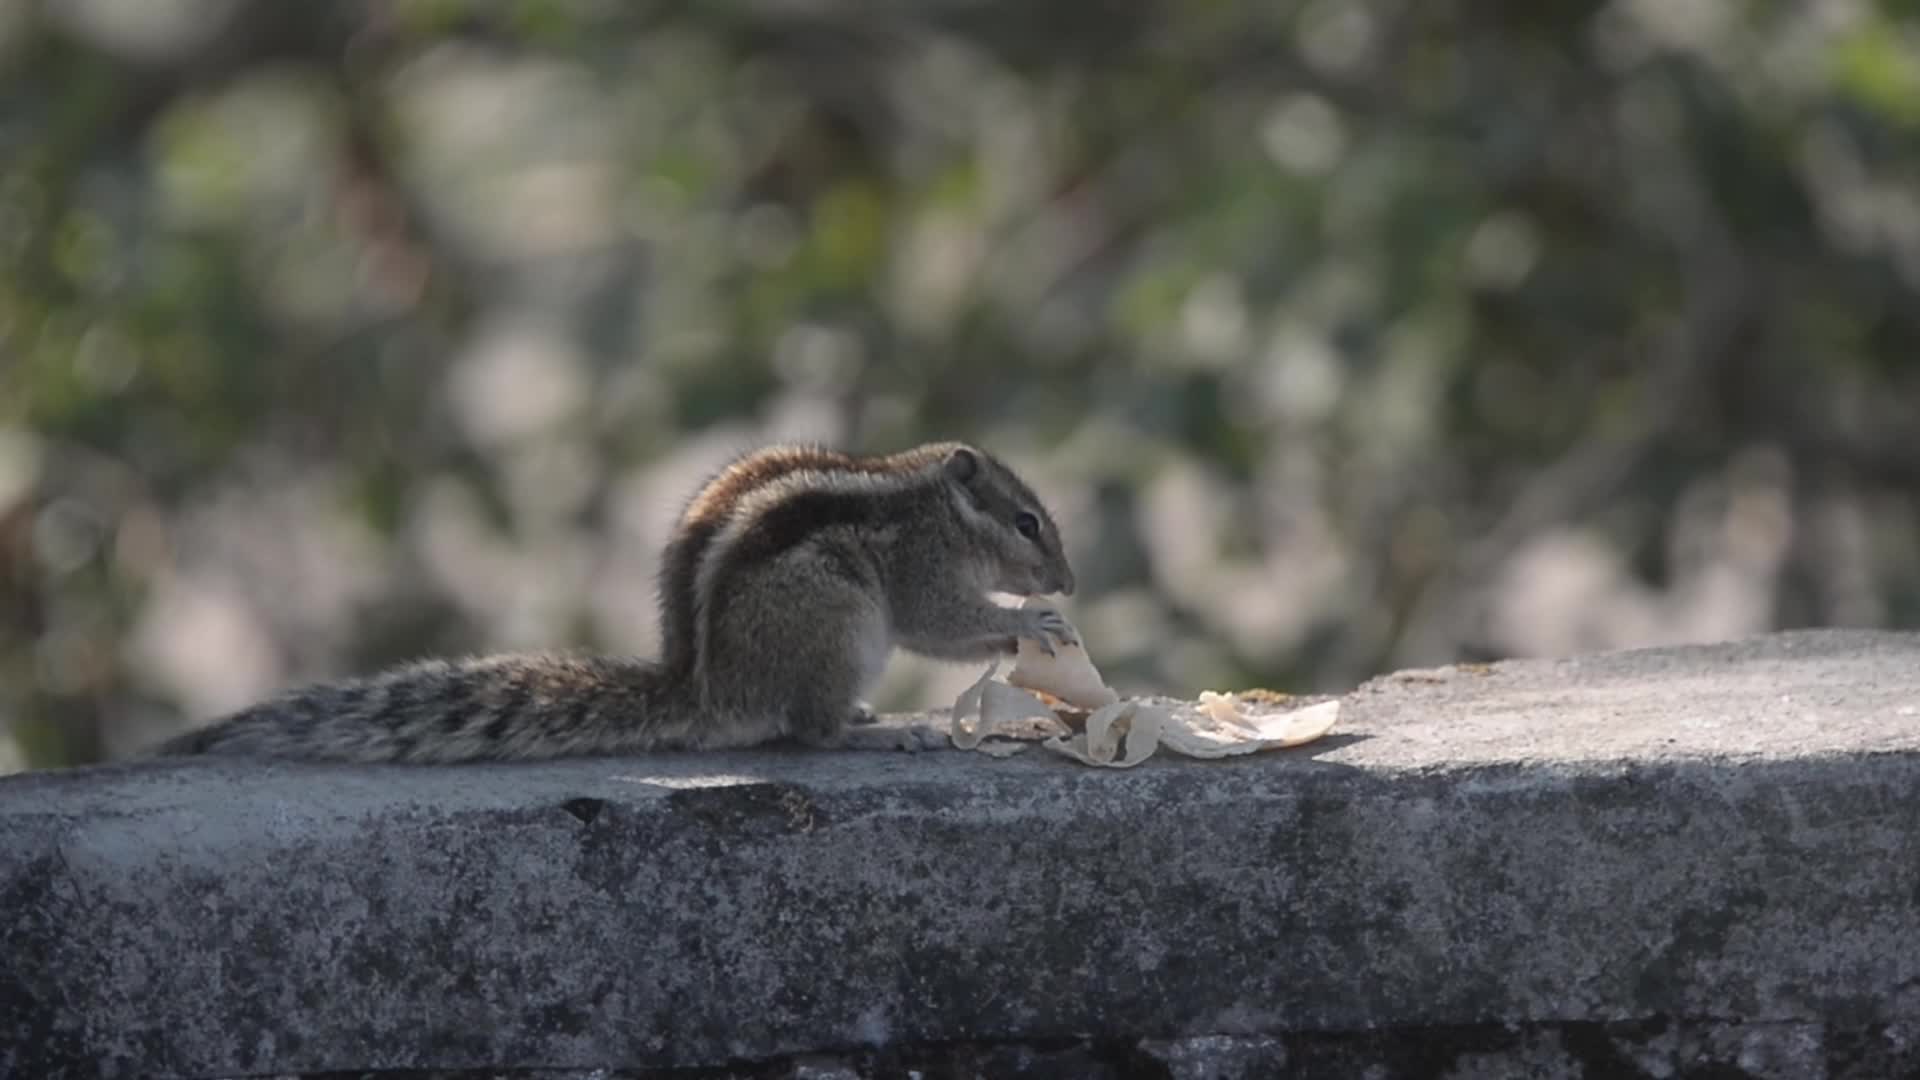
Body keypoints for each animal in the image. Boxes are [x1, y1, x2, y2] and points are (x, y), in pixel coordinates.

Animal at [144, 441, 1079, 763]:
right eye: (1027, 522)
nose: (1069, 582)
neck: (934, 503)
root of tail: (708, 692)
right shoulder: (919, 569)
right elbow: (943, 623)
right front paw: (1024, 622)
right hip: (839, 623)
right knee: (808, 729)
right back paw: (878, 730)